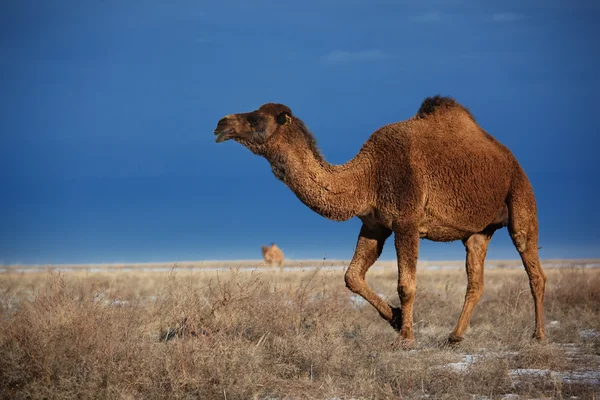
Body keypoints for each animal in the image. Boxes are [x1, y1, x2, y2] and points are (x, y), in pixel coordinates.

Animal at [213, 95, 548, 346]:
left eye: (256, 119)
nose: (220, 123)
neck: (367, 176)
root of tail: (509, 156)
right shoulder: (375, 225)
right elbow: (351, 277)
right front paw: (396, 319)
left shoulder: (407, 221)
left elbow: (406, 284)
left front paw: (406, 338)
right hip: (477, 231)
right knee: (475, 280)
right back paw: (454, 337)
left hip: (520, 195)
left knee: (533, 267)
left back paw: (539, 335)